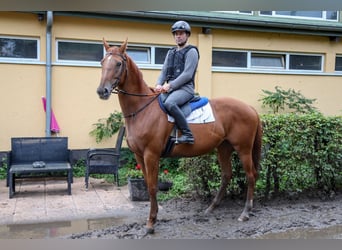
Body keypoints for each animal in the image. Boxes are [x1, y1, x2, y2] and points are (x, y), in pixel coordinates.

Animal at [97, 38, 264, 233]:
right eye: (102, 62)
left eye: (118, 63)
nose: (102, 91)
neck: (142, 109)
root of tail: (249, 108)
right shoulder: (139, 156)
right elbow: (147, 184)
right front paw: (152, 218)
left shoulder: (151, 155)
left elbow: (152, 187)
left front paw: (151, 222)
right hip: (224, 148)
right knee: (226, 175)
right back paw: (211, 207)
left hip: (243, 149)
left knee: (251, 175)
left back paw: (245, 212)